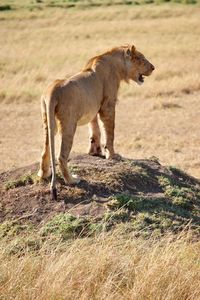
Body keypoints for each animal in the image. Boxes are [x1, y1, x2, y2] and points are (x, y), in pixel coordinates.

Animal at [38, 44, 155, 199]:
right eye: (141, 58)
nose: (153, 67)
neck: (117, 66)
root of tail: (53, 90)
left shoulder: (93, 107)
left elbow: (95, 130)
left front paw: (95, 152)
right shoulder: (108, 106)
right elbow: (109, 132)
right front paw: (112, 155)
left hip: (48, 121)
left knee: (45, 149)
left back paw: (44, 174)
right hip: (69, 123)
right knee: (61, 156)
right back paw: (72, 180)